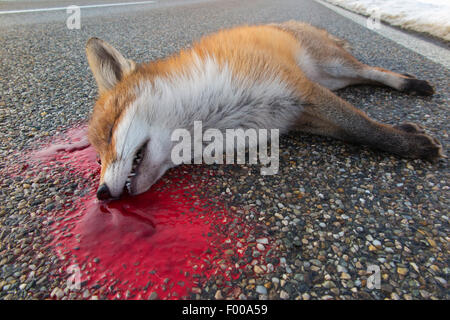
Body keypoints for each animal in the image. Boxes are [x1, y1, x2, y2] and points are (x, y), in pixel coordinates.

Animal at [86, 20, 444, 200]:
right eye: (98, 159)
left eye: (111, 130)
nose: (101, 194)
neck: (216, 116)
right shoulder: (298, 116)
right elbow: (355, 131)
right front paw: (407, 137)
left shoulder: (299, 89)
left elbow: (364, 128)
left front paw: (413, 144)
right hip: (333, 80)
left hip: (333, 66)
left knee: (372, 71)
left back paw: (411, 84)